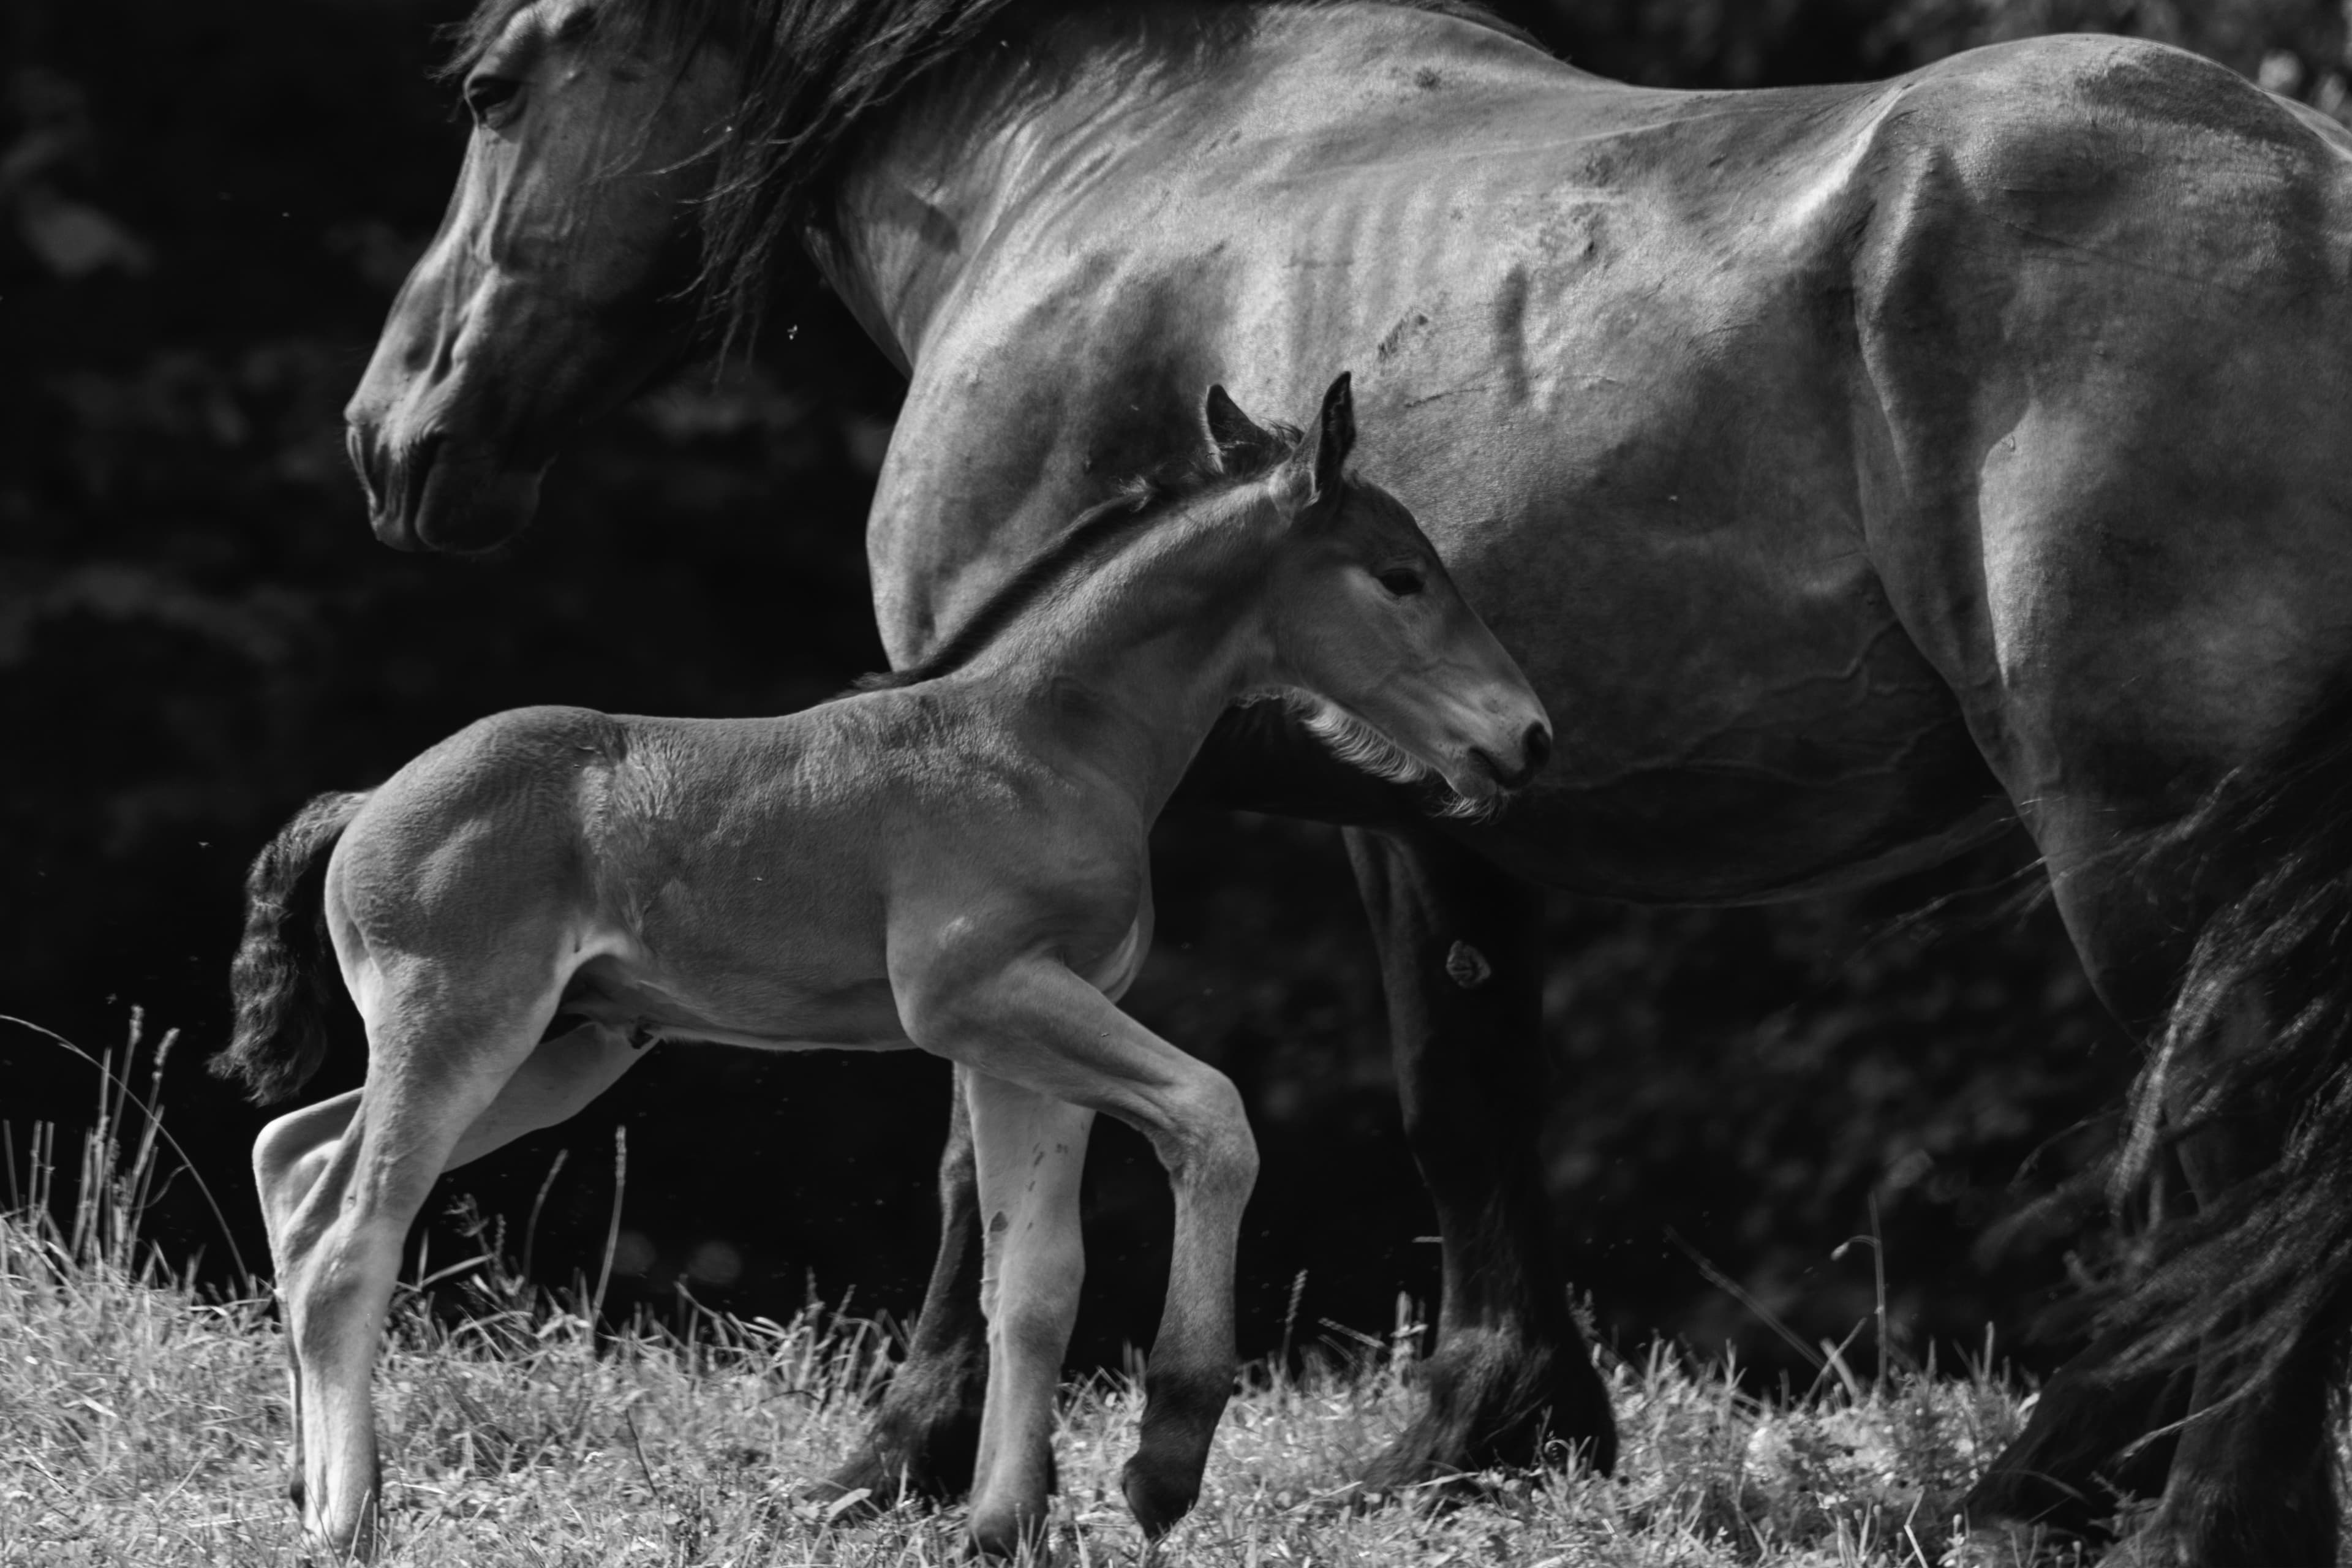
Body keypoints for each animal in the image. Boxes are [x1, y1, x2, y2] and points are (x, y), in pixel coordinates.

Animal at [215, 373, 1553, 1557]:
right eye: (1401, 578)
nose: (1528, 736)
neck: (1045, 740)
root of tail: (368, 802)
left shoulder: (1031, 1035)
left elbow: (1037, 1278)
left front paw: (1004, 1527)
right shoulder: (982, 996)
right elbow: (1214, 1116)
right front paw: (1164, 1459)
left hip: (559, 1045)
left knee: (295, 1161)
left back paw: (306, 1487)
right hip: (464, 1026)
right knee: (350, 1239)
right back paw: (348, 1521)